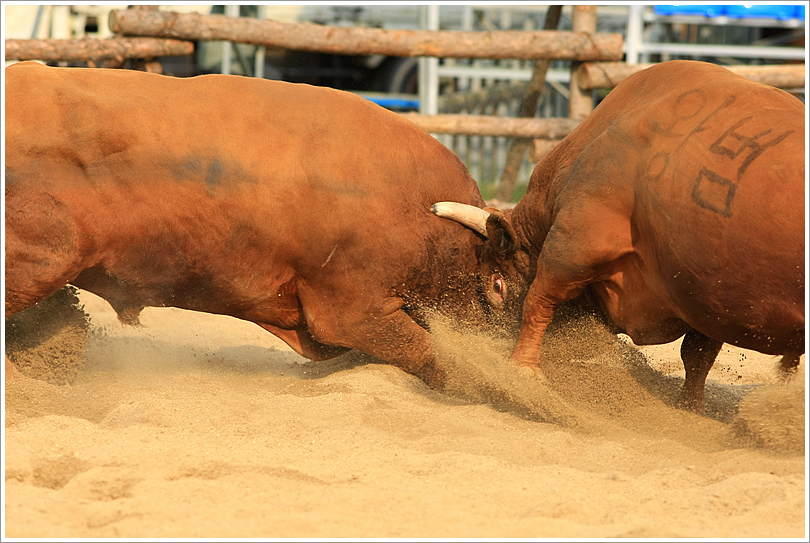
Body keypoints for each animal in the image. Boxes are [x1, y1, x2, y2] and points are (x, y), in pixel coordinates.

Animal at [3, 61, 528, 388]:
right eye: (499, 286)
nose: (518, 356)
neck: (407, 201)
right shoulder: (352, 311)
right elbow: (434, 356)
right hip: (40, 261)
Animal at [438, 61, 804, 410]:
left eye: (496, 284)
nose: (488, 345)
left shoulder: (576, 239)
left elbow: (538, 301)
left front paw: (521, 370)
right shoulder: (704, 298)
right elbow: (698, 356)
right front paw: (691, 408)